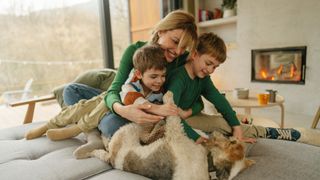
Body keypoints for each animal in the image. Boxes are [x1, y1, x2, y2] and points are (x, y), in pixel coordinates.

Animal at [90, 92, 255, 179]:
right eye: (233, 142)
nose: (231, 137)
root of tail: (113, 159)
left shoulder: (175, 133)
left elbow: (174, 116)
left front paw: (169, 97)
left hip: (129, 129)